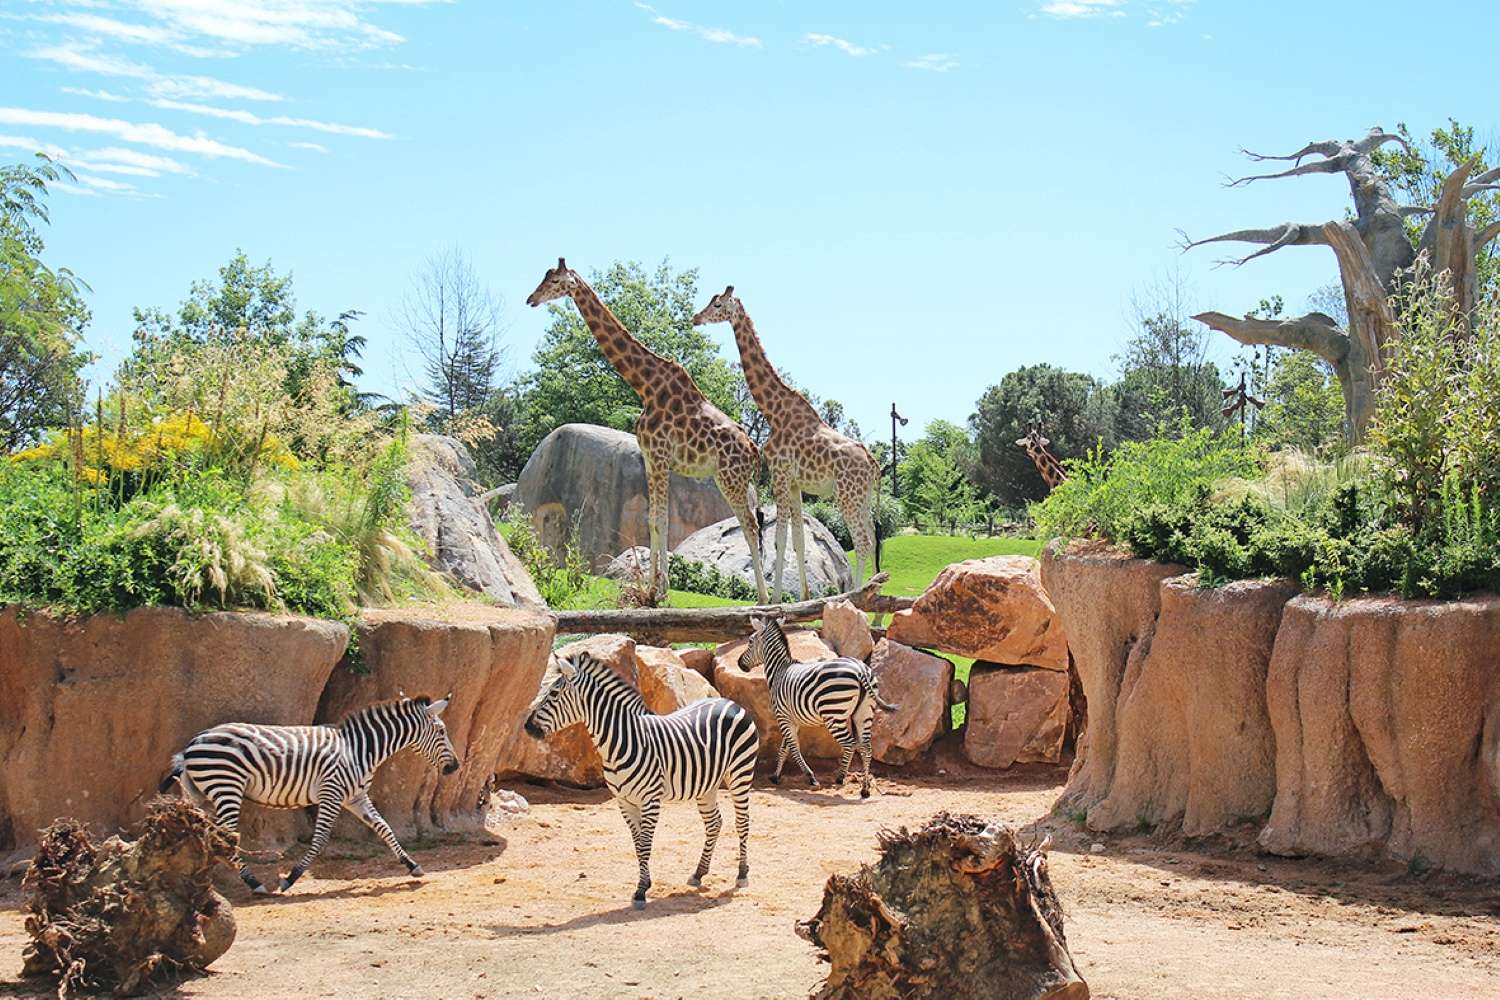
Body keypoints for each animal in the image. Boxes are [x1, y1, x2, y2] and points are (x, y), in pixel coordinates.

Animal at [159, 692, 459, 893]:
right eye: (442, 731)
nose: (455, 767)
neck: (359, 750)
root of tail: (193, 744)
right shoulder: (332, 793)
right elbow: (320, 839)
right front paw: (291, 877)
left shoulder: (355, 796)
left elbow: (384, 828)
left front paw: (412, 865)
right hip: (226, 787)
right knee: (225, 836)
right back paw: (253, 883)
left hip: (204, 793)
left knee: (204, 833)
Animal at [528, 260, 768, 602]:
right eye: (545, 277)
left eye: (555, 281)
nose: (531, 299)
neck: (645, 386)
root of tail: (753, 450)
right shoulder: (650, 457)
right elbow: (654, 522)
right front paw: (652, 591)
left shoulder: (661, 455)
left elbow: (660, 521)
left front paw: (660, 590)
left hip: (729, 478)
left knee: (750, 525)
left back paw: (764, 598)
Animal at [528, 653, 762, 911]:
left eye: (553, 694)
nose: (527, 727)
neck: (622, 742)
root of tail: (728, 702)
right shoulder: (624, 801)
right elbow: (637, 845)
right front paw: (644, 886)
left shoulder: (650, 800)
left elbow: (645, 845)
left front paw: (641, 891)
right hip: (707, 783)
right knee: (714, 823)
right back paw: (699, 873)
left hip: (740, 772)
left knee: (742, 822)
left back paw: (742, 874)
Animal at [690, 289, 876, 602]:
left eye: (717, 304)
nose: (695, 318)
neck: (773, 411)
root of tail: (873, 464)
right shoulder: (795, 483)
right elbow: (798, 539)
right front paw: (804, 597)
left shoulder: (780, 474)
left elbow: (779, 539)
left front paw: (776, 599)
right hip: (862, 498)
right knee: (873, 539)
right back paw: (874, 600)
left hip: (847, 495)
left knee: (862, 541)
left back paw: (855, 597)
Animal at [735, 611, 894, 797]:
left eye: (750, 641)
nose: (740, 664)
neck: (780, 670)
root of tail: (861, 669)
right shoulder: (792, 719)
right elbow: (785, 747)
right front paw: (776, 776)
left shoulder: (783, 717)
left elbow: (793, 747)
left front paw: (810, 777)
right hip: (864, 713)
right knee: (867, 748)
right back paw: (865, 789)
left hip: (834, 714)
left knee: (849, 744)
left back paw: (840, 777)